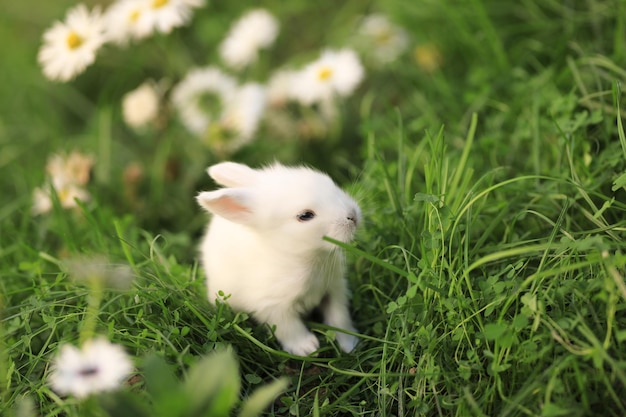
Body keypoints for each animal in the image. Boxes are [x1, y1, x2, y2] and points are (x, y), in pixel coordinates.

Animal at [195, 161, 360, 356]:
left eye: (329, 182)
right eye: (305, 215)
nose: (352, 215)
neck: (301, 257)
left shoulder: (334, 290)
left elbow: (339, 318)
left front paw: (350, 344)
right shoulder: (273, 306)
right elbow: (289, 328)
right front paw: (307, 348)